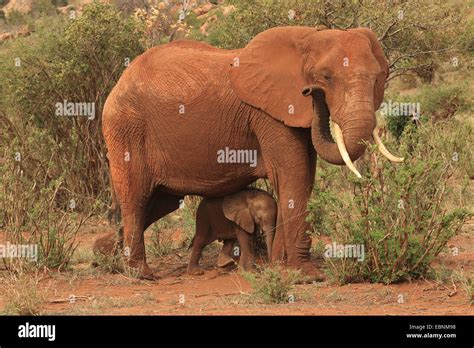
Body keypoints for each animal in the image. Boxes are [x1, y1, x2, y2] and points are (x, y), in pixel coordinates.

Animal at [102, 25, 402, 280]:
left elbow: (303, 180)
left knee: (158, 204)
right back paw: (141, 273)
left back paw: (107, 255)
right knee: (136, 199)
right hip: (126, 129)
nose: (310, 91)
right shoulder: (268, 115)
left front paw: (280, 265)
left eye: (379, 78)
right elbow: (294, 177)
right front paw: (305, 275)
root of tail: (118, 82)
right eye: (326, 78)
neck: (309, 37)